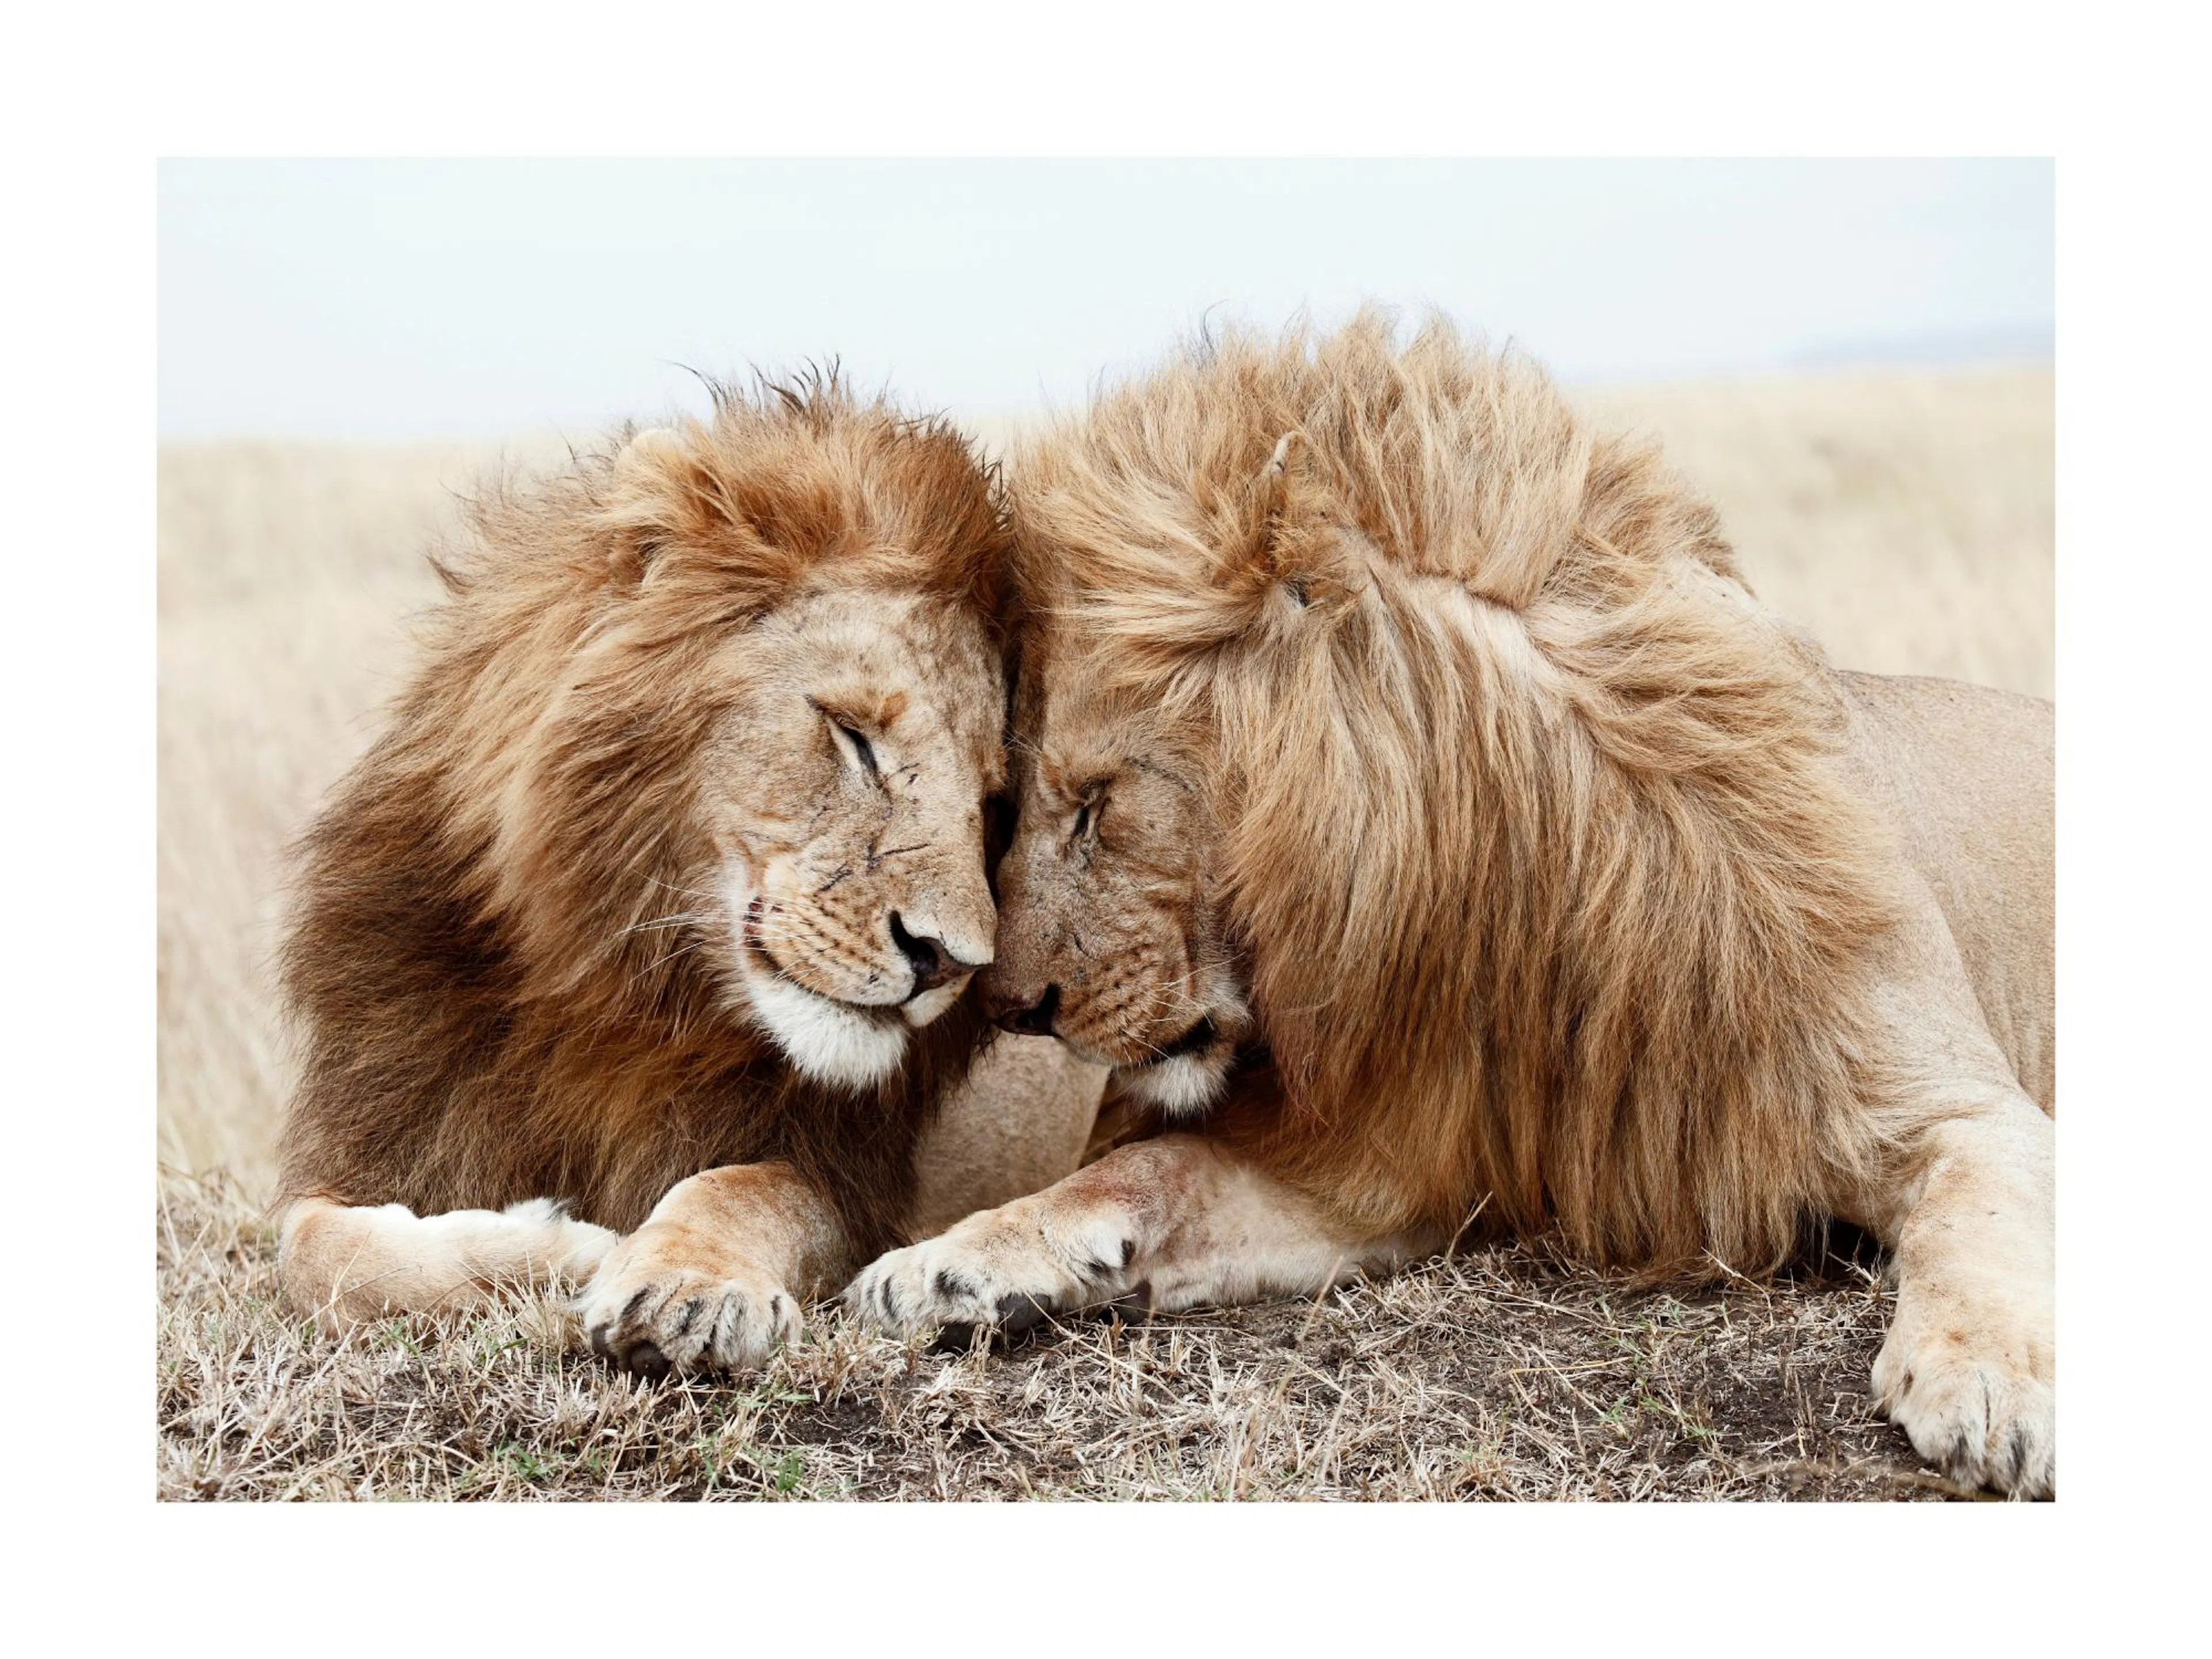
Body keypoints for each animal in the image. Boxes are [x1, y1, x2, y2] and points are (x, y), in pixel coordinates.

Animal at [274, 375, 1100, 1377]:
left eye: (990, 803)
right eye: (854, 737)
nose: (949, 961)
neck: (620, 990)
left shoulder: (844, 1177)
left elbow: (739, 1187)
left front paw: (682, 1286)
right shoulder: (381, 1134)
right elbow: (313, 1250)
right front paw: (558, 1248)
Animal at [848, 315, 2056, 1498]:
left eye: (1098, 803)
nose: (1009, 1006)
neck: (1516, 875)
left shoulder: (1959, 1105)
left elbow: (1983, 1212)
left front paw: (1991, 1385)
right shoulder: (1389, 1163)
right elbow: (1152, 1167)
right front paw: (945, 1264)